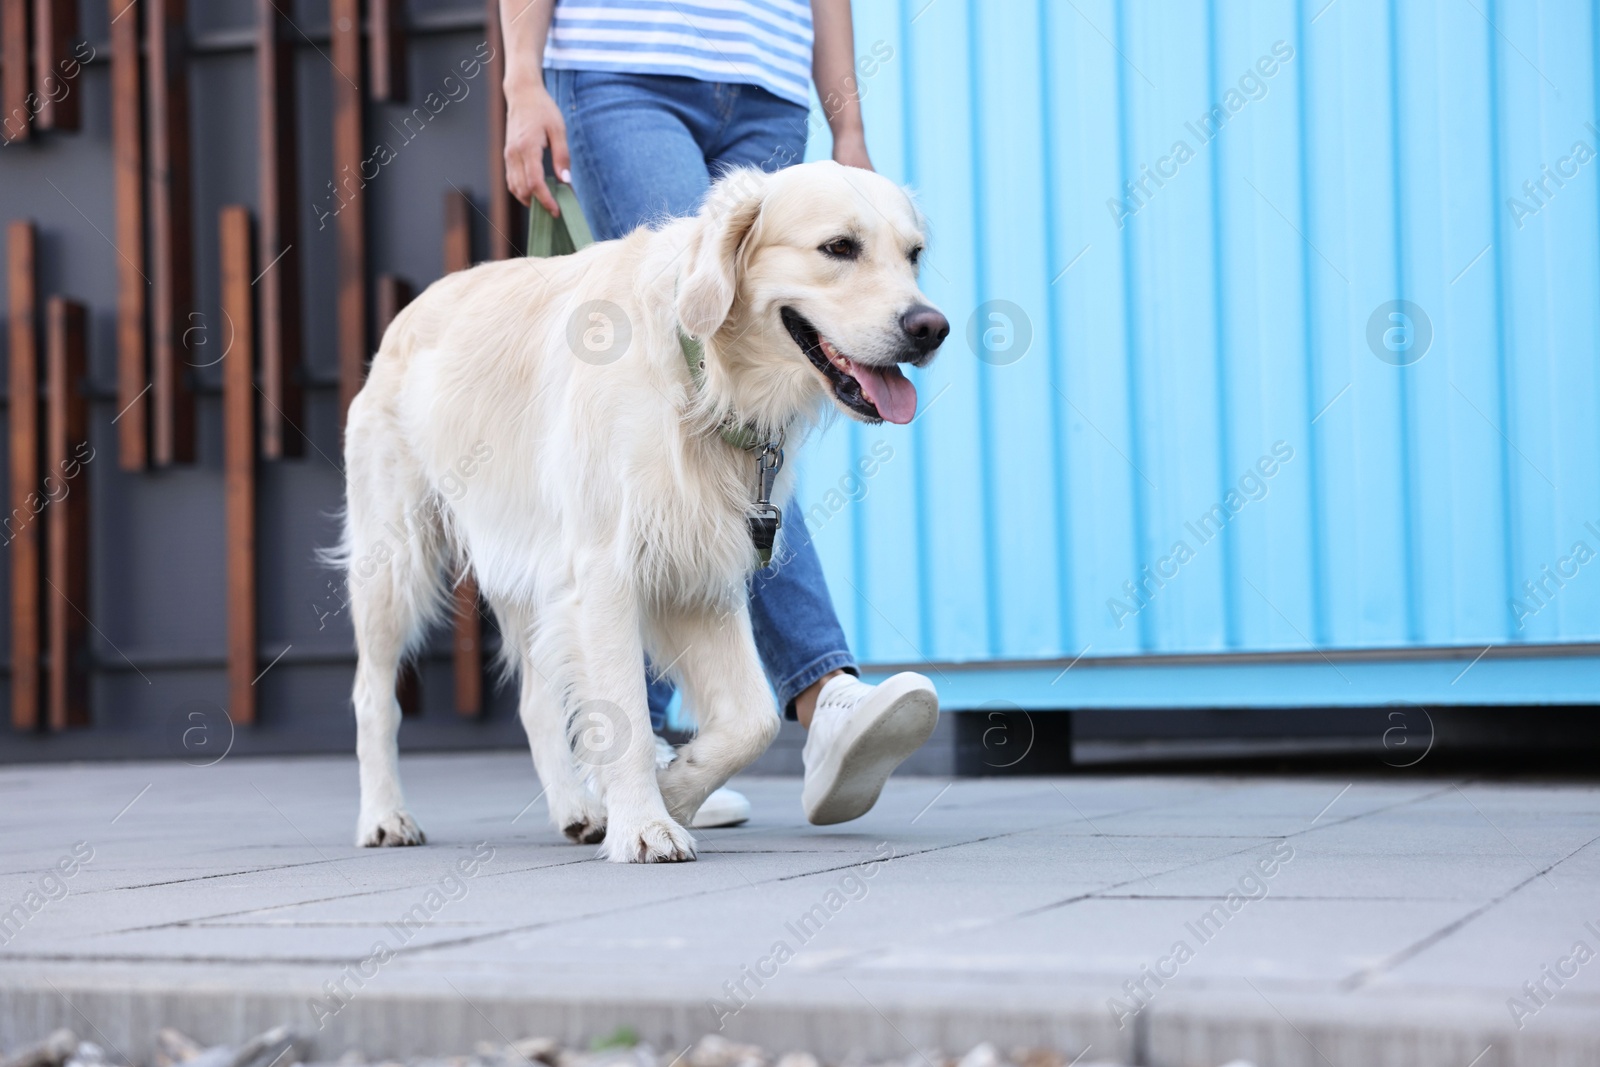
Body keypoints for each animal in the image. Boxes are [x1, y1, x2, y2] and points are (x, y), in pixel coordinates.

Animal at [331, 160, 940, 857]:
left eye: (914, 255)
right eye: (839, 247)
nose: (932, 327)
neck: (699, 372)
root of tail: (408, 313)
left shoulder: (696, 575)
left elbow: (753, 720)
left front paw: (675, 788)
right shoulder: (605, 570)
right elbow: (622, 705)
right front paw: (646, 825)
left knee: (537, 702)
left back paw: (577, 807)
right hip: (394, 563)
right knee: (373, 696)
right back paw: (384, 816)